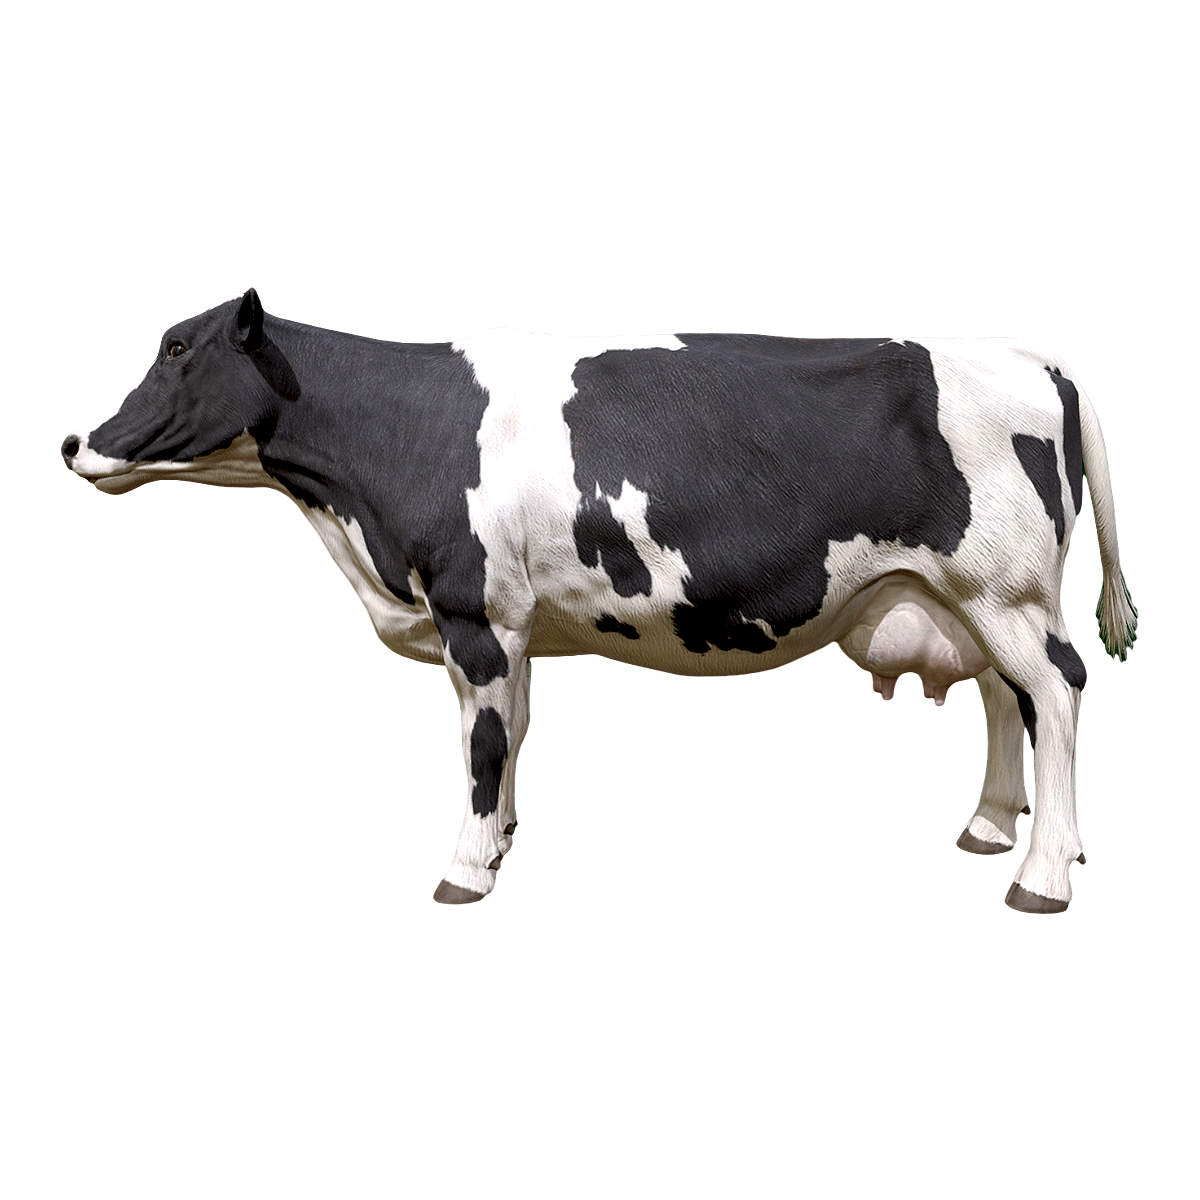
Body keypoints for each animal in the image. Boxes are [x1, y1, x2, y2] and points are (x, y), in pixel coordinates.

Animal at [63, 291, 1137, 913]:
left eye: (174, 347)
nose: (77, 441)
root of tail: (1035, 359)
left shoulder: (476, 609)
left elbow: (486, 746)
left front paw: (463, 869)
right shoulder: (512, 617)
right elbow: (510, 733)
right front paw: (496, 844)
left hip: (1000, 588)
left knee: (1054, 700)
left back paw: (1045, 874)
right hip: (974, 597)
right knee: (1010, 699)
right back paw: (994, 829)